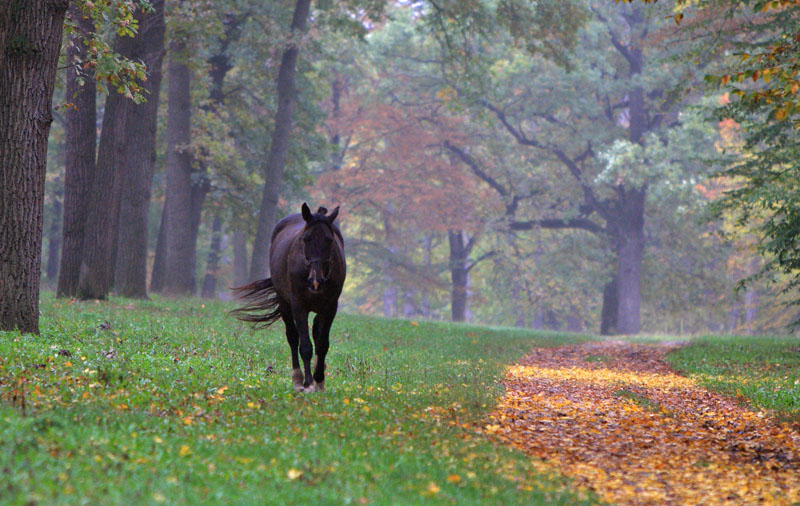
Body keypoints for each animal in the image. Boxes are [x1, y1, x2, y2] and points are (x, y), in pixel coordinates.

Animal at [230, 204, 346, 394]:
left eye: (329, 240)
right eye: (306, 238)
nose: (316, 282)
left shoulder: (330, 307)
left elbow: (322, 344)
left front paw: (319, 380)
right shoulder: (298, 305)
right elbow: (305, 346)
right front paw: (308, 383)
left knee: (315, 331)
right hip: (285, 304)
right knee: (292, 337)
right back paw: (298, 378)